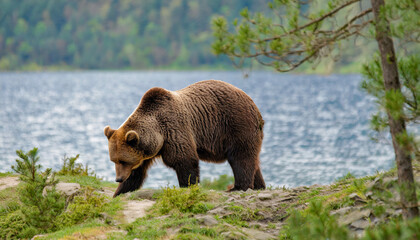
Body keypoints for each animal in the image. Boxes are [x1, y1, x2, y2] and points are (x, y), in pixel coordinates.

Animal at [104, 79, 262, 196]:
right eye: (114, 160)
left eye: (123, 160)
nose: (118, 178)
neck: (158, 133)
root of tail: (253, 103)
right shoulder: (145, 153)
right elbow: (136, 173)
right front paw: (119, 192)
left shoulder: (174, 130)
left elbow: (185, 161)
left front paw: (188, 186)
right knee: (253, 162)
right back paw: (259, 186)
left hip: (237, 124)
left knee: (241, 157)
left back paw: (238, 187)